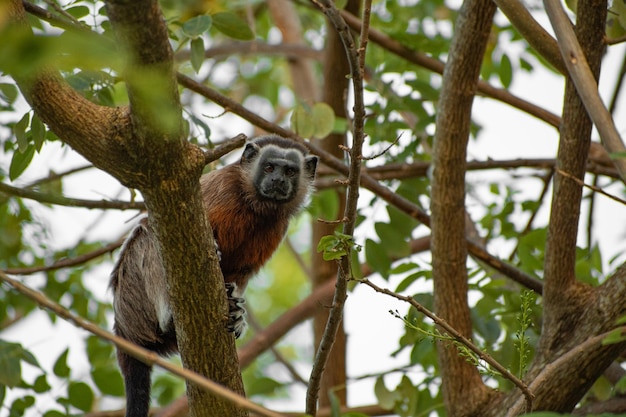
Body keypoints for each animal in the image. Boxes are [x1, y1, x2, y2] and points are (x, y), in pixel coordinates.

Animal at [107, 135, 316, 414]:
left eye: (290, 171)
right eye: (270, 167)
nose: (278, 181)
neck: (254, 204)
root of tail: (122, 328)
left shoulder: (277, 226)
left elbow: (241, 273)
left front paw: (236, 309)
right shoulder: (220, 189)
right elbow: (156, 225)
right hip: (135, 301)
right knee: (148, 237)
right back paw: (169, 317)